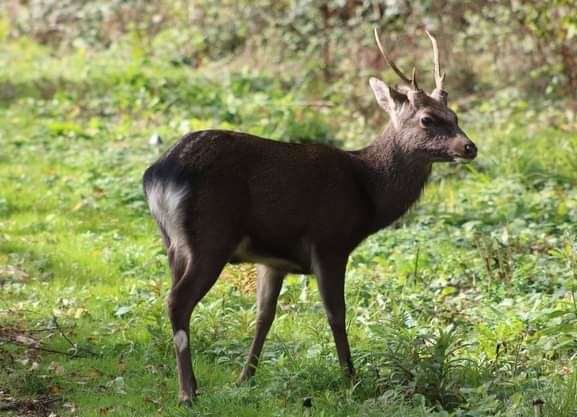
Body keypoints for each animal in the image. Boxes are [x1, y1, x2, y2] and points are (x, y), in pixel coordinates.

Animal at [142, 28, 474, 404]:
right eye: (427, 119)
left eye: (455, 116)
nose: (469, 147)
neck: (367, 193)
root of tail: (159, 175)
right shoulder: (330, 241)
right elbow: (336, 313)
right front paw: (350, 379)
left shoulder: (273, 260)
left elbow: (264, 316)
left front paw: (244, 378)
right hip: (210, 237)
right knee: (177, 301)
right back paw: (188, 392)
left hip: (173, 244)